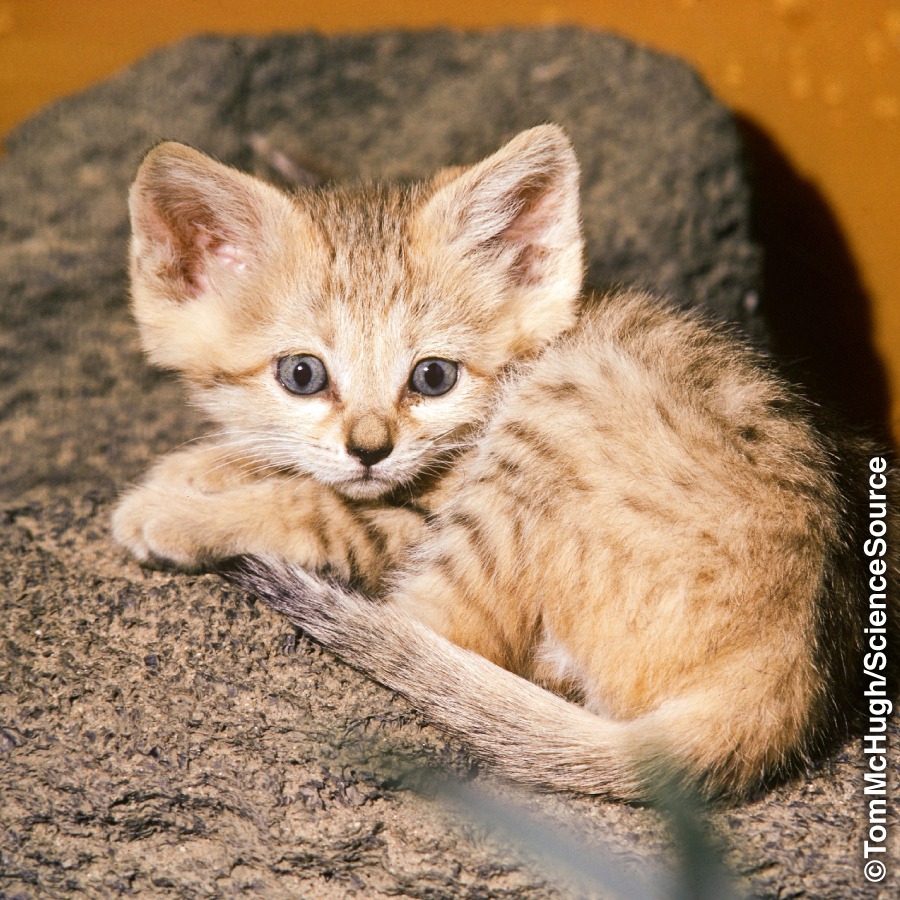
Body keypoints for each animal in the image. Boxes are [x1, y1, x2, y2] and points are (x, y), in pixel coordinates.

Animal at [114, 126, 892, 800]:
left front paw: (173, 515)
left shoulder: (413, 512)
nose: (370, 449)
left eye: (433, 378)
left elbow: (320, 509)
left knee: (438, 630)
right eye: (301, 375)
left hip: (556, 404)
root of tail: (790, 678)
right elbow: (289, 466)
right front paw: (196, 468)